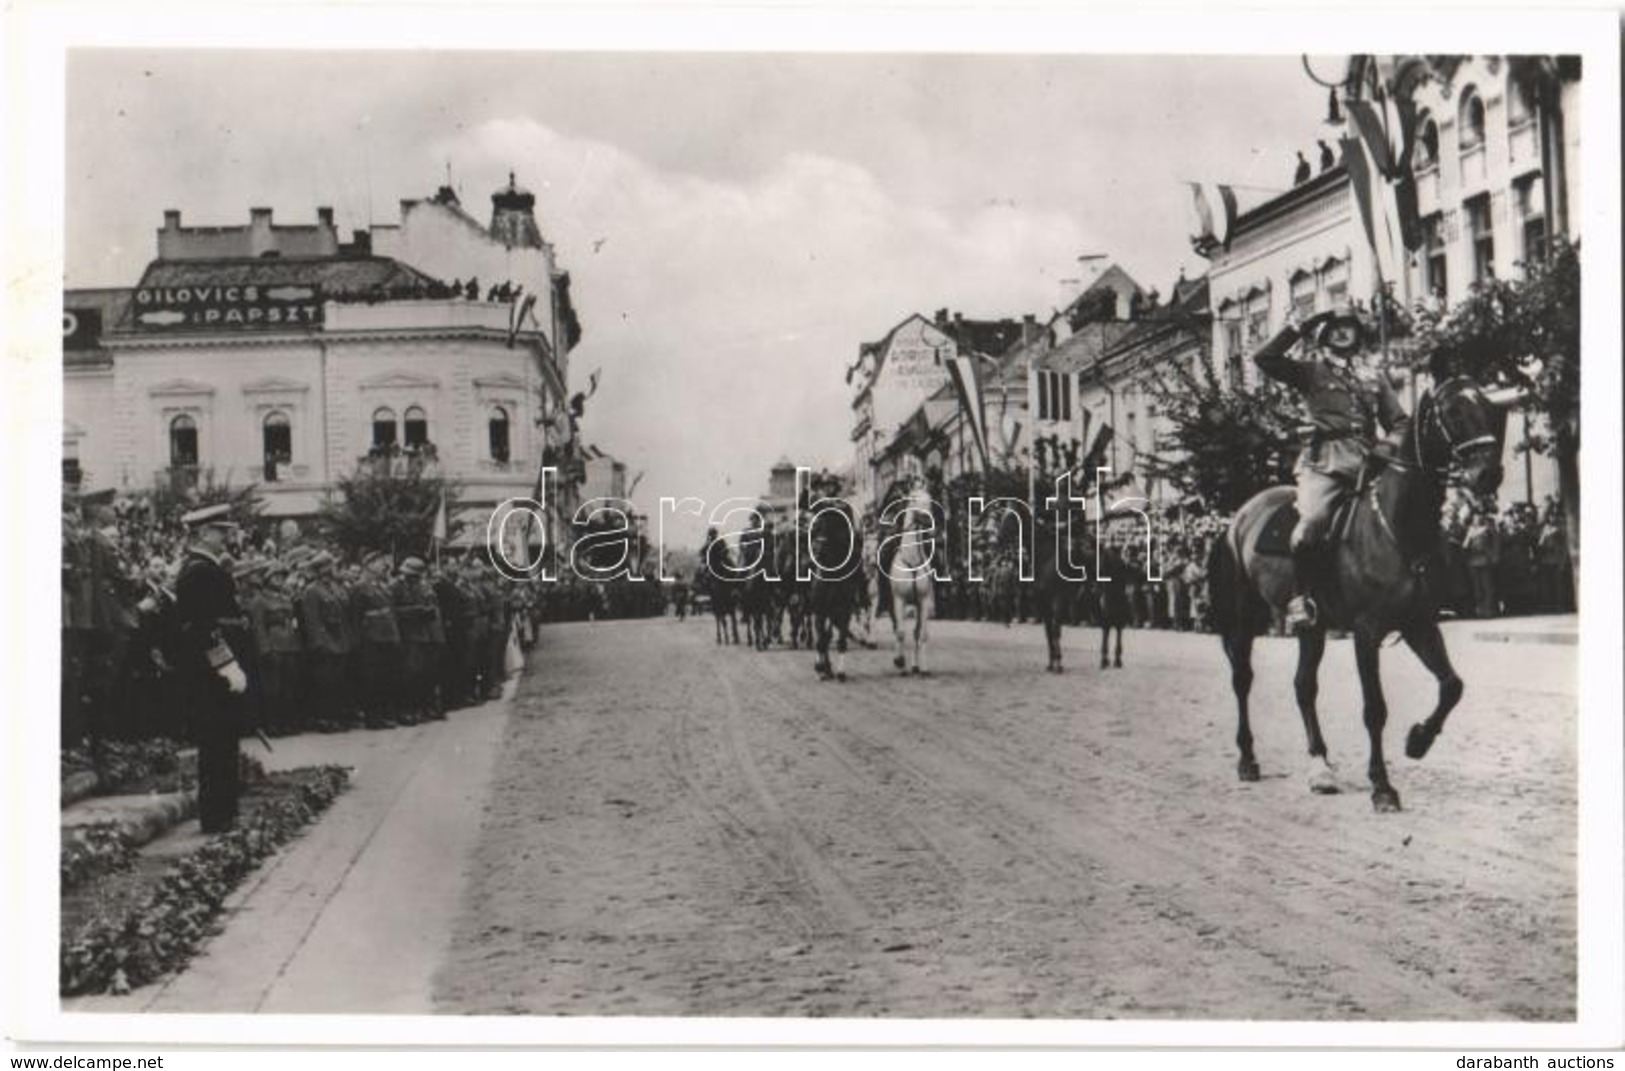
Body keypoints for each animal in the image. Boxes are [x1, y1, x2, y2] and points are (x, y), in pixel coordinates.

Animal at [890, 481, 942, 676]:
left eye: (930, 499)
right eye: (913, 499)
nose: (929, 522)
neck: (912, 560)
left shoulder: (923, 600)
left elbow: (922, 634)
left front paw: (923, 668)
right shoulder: (899, 600)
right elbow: (900, 632)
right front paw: (900, 663)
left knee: (915, 631)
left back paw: (915, 666)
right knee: (898, 629)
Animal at [1209, 378, 1508, 812]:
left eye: (1487, 406)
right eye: (1453, 411)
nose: (1489, 474)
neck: (1396, 524)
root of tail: (1240, 516)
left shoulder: (1419, 624)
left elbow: (1452, 685)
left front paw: (1418, 740)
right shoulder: (1367, 632)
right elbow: (1374, 709)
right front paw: (1382, 786)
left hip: (1312, 629)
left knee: (1304, 687)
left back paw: (1321, 767)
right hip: (1244, 618)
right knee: (1242, 679)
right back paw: (1248, 759)